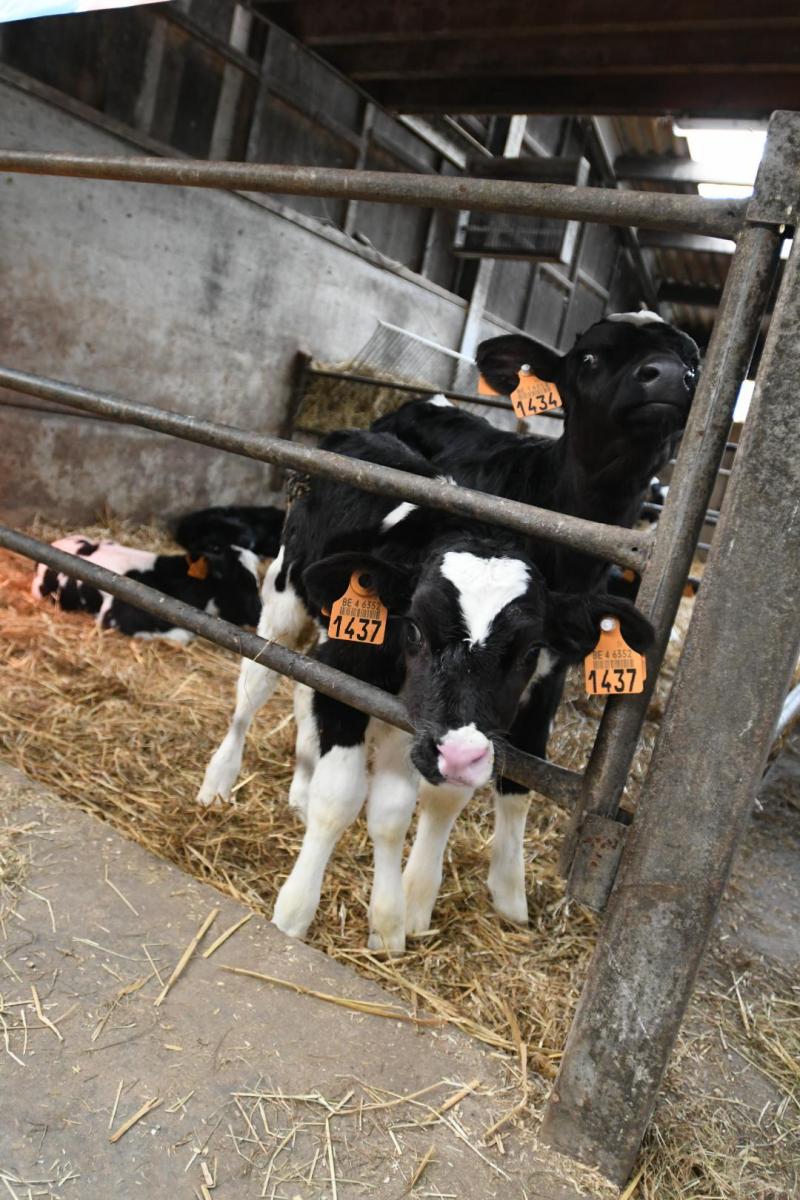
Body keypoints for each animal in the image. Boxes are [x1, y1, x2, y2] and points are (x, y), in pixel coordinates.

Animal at [196, 432, 652, 945]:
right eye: (413, 628)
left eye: (531, 650)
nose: (459, 754)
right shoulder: (346, 679)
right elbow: (339, 798)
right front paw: (294, 913)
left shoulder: (457, 719)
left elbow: (400, 810)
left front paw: (393, 920)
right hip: (284, 604)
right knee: (255, 687)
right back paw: (219, 781)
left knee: (300, 696)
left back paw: (300, 788)